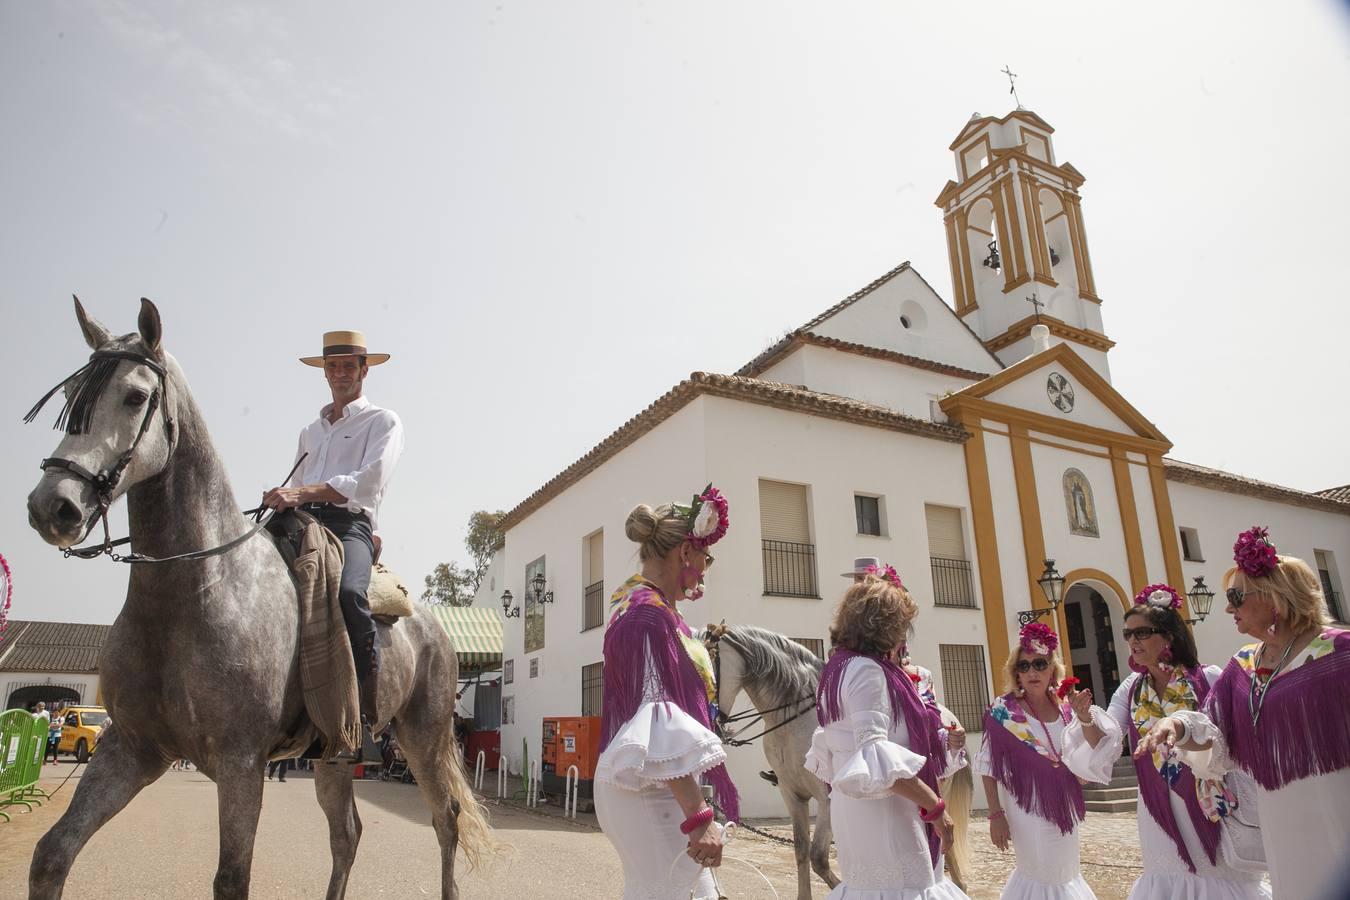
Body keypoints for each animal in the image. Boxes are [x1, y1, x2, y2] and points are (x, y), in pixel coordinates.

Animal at [24, 299, 491, 895]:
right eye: (69, 398)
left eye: (134, 396)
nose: (53, 506)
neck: (196, 593)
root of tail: (435, 628)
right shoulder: (130, 748)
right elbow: (52, 854)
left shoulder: (241, 762)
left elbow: (232, 878)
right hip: (336, 755)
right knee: (348, 833)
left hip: (423, 736)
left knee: (445, 818)